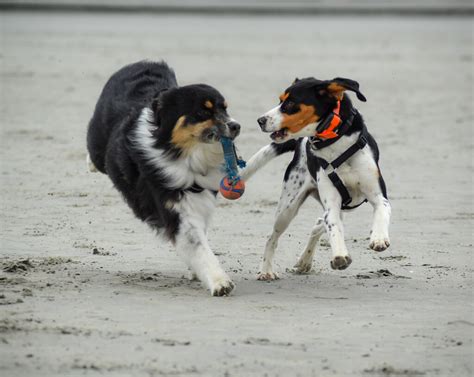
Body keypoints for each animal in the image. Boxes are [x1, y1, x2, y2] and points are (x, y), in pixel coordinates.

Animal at [85, 60, 241, 296]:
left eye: (225, 108)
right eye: (202, 111)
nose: (236, 126)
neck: (184, 155)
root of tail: (142, 63)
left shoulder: (198, 200)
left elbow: (198, 241)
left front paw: (197, 272)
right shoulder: (173, 207)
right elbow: (199, 247)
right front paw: (219, 282)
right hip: (97, 145)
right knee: (93, 153)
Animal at [243, 76, 390, 280]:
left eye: (289, 103)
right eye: (280, 100)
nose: (260, 120)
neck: (336, 143)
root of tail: (300, 143)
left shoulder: (378, 196)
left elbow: (381, 212)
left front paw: (379, 238)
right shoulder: (332, 204)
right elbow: (334, 228)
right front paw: (339, 256)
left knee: (318, 223)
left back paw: (304, 261)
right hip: (287, 209)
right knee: (272, 237)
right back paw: (266, 270)